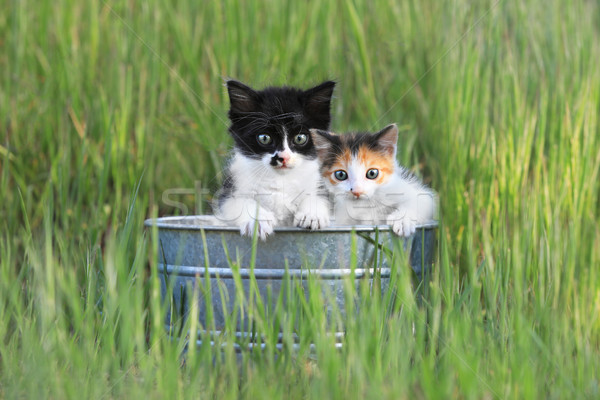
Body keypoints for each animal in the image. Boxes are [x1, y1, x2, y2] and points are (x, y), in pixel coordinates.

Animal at [216, 79, 338, 239]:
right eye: (264, 138)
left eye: (300, 138)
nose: (283, 157)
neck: (280, 179)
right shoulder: (230, 191)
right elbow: (240, 202)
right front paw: (258, 221)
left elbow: (319, 196)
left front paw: (312, 214)